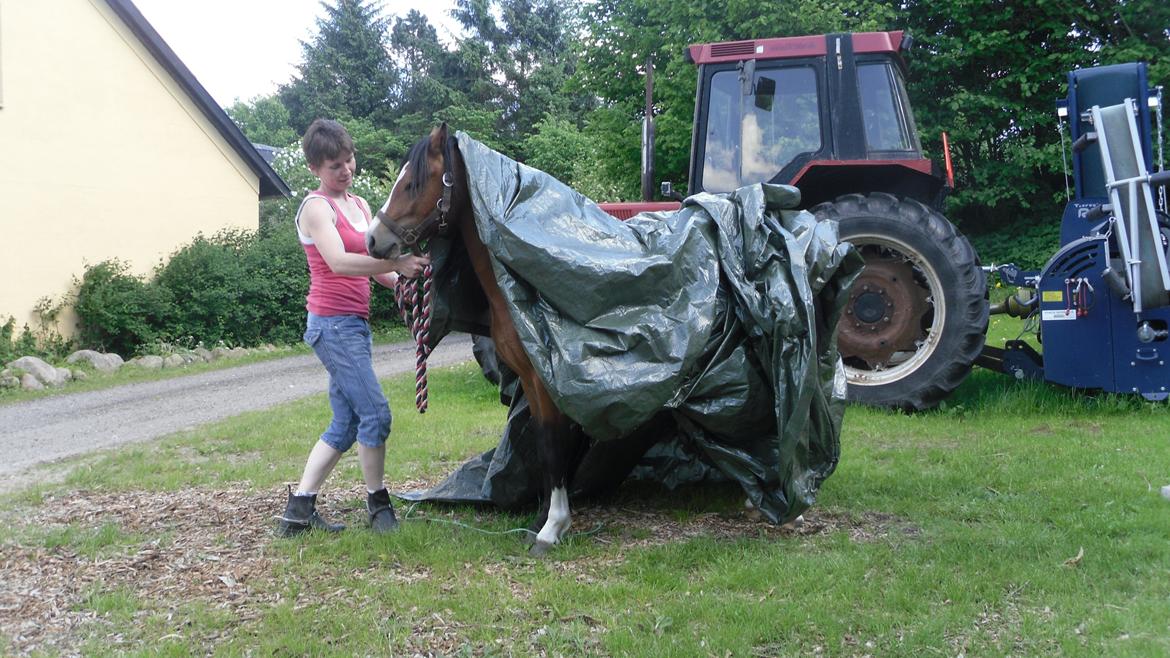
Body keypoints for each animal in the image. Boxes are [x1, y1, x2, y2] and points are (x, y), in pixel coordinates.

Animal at [365, 124, 580, 552]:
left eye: (413, 183)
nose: (372, 240)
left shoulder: (548, 379)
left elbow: (553, 441)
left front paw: (552, 527)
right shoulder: (531, 379)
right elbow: (543, 442)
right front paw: (542, 518)